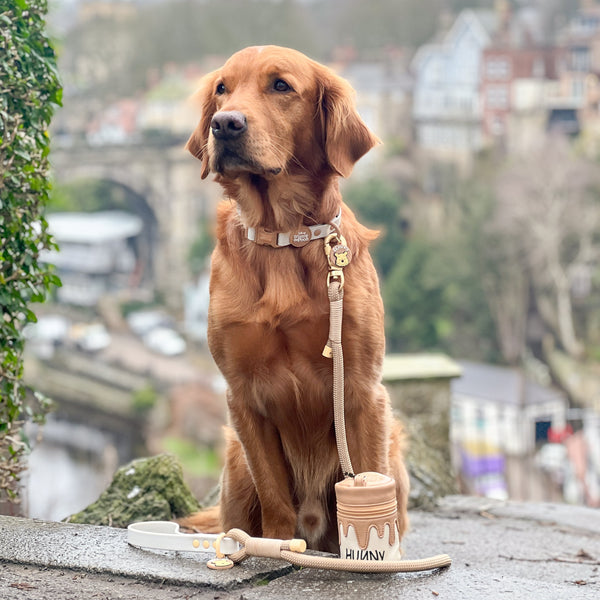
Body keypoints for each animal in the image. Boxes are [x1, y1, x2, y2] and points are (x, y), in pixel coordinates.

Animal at [183, 47, 408, 552]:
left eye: (281, 86)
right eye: (222, 89)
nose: (224, 124)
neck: (283, 236)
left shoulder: (362, 389)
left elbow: (369, 476)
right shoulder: (243, 396)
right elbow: (274, 495)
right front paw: (275, 546)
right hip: (234, 462)